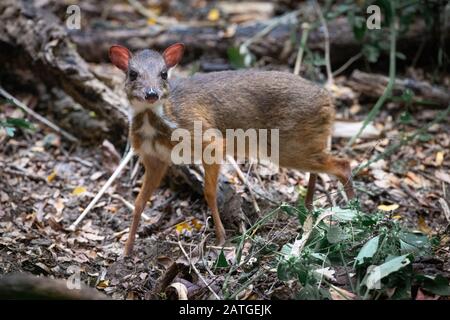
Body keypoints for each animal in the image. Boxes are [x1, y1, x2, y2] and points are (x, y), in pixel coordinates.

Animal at [110, 43, 356, 258]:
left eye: (163, 74)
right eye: (132, 73)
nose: (151, 93)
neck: (161, 122)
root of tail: (329, 102)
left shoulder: (210, 142)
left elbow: (210, 193)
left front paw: (220, 238)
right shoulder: (154, 159)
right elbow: (139, 203)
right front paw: (127, 250)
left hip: (289, 147)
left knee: (343, 164)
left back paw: (353, 212)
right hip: (302, 144)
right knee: (323, 166)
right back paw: (311, 206)